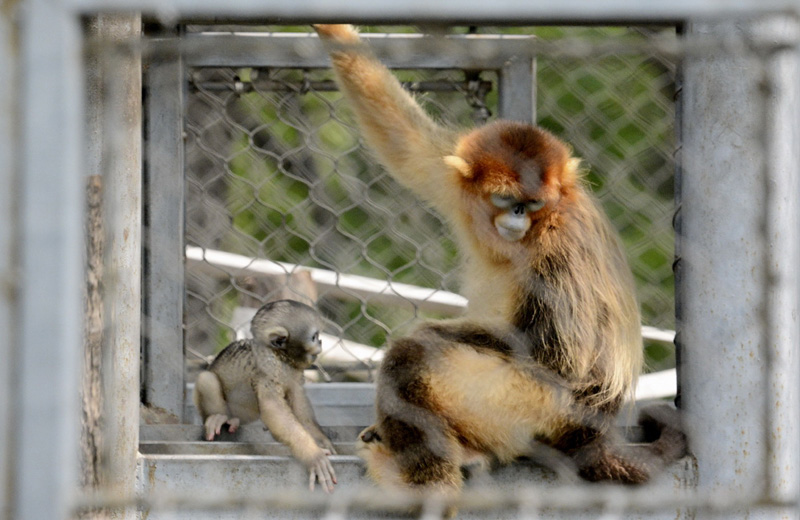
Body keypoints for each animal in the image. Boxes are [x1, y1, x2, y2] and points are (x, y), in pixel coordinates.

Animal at [194, 300, 338, 492]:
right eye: (314, 337)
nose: (320, 343)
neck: (281, 357)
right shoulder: (268, 366)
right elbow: (273, 407)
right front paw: (312, 454)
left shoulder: (295, 371)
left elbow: (298, 404)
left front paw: (321, 441)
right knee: (207, 379)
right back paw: (221, 418)